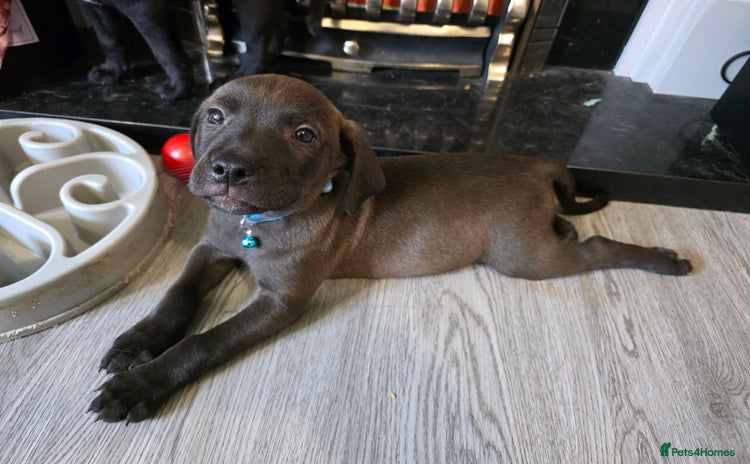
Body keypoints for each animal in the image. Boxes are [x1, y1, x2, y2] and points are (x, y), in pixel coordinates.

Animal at [89, 74, 692, 422]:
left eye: (304, 135)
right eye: (215, 115)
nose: (229, 171)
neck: (255, 224)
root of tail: (540, 166)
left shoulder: (281, 302)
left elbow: (204, 343)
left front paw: (139, 385)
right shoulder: (208, 252)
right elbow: (178, 297)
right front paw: (137, 342)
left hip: (524, 259)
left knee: (596, 245)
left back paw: (662, 260)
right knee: (570, 231)